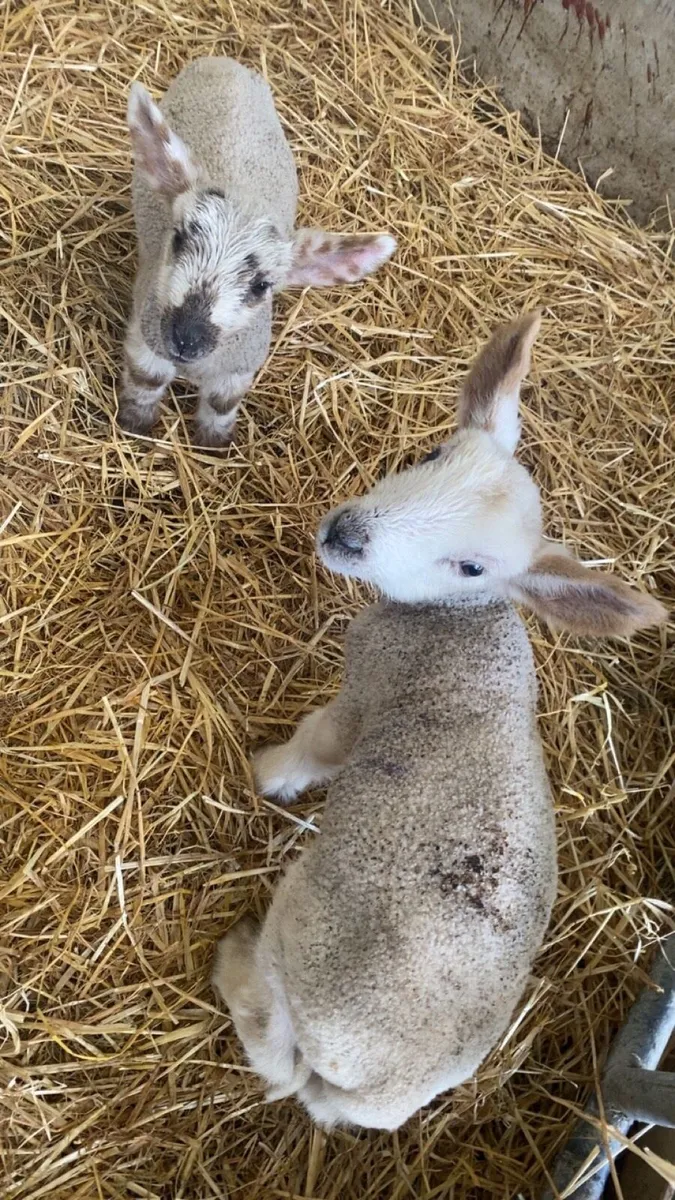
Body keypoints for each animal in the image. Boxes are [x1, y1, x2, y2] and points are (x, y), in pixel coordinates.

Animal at [119, 56, 396, 448]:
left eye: (262, 286)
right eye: (179, 238)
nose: (186, 337)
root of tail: (223, 60)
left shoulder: (240, 365)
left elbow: (222, 403)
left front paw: (215, 445)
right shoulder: (148, 335)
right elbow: (147, 379)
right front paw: (135, 423)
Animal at [212, 313, 666, 1130]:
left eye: (472, 568)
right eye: (429, 455)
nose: (348, 535)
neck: (458, 621)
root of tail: (367, 1081)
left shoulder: (365, 690)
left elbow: (317, 743)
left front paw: (269, 776)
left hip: (300, 934)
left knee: (270, 1040)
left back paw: (232, 960)